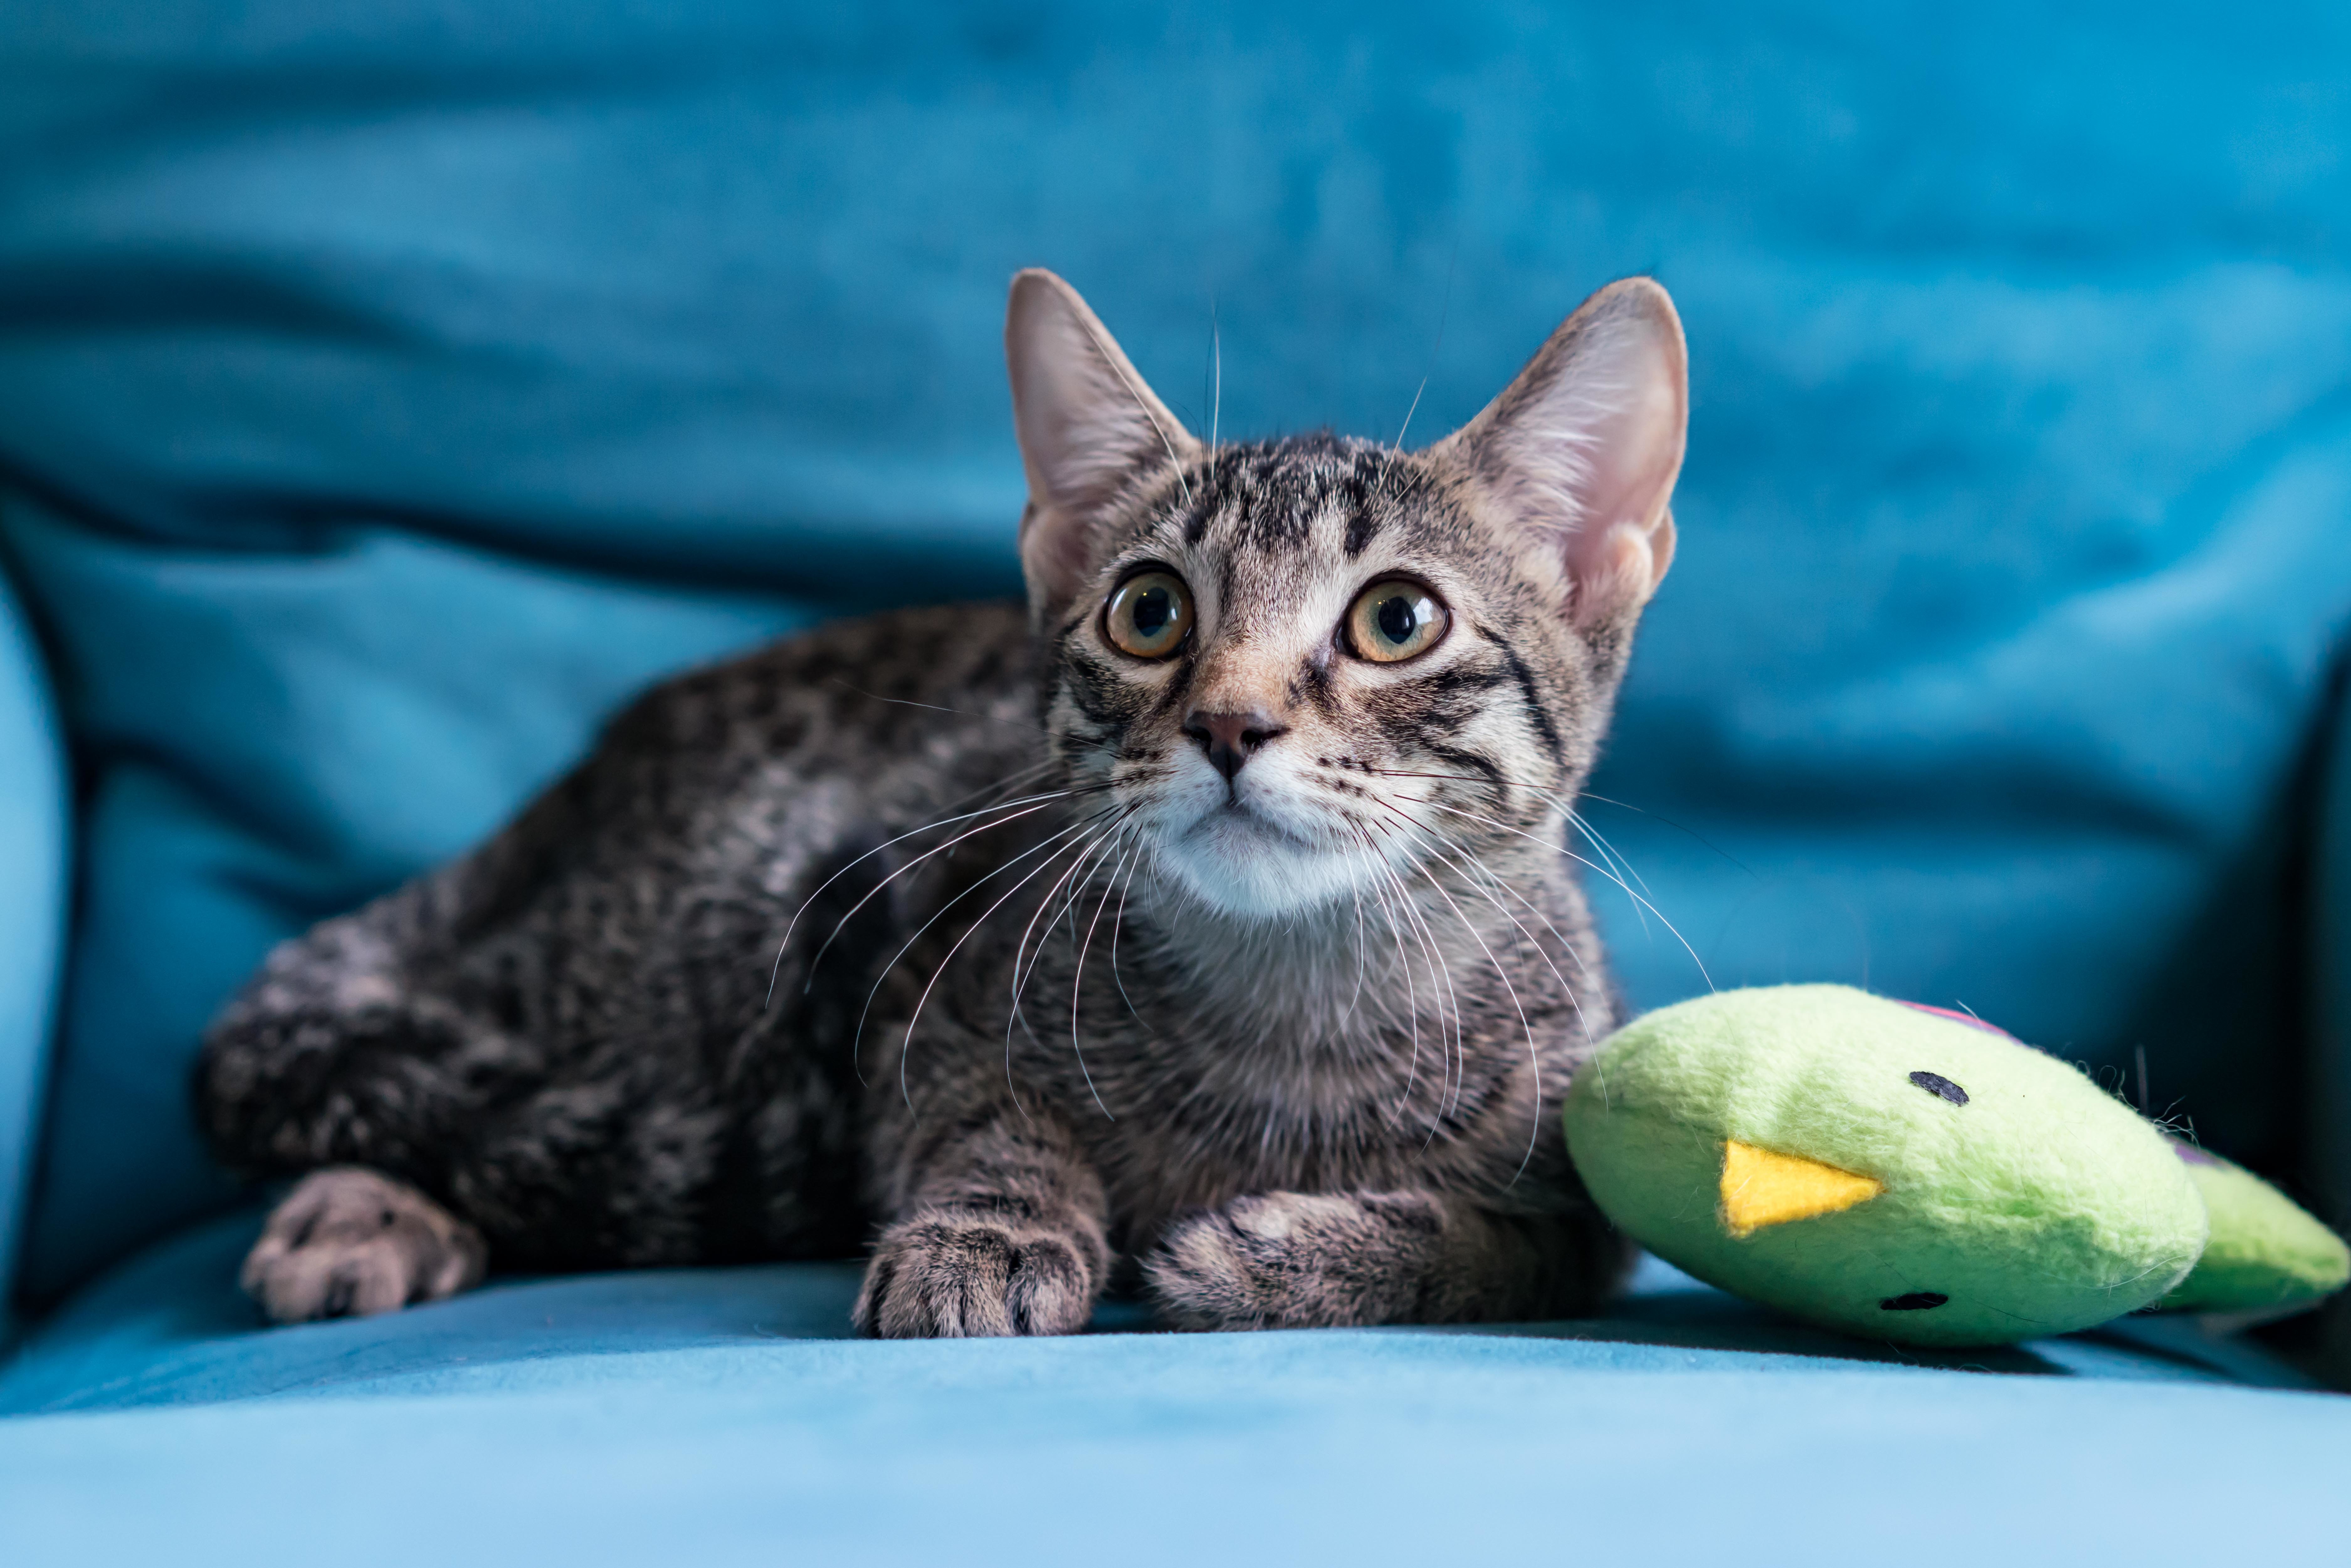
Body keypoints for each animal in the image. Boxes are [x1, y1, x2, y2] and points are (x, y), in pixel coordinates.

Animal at [193, 270, 1683, 1335]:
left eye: (1395, 619)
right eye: (1149, 611)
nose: (1227, 721)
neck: (1293, 1007)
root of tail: (568, 793)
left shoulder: (1574, 1186)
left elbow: (1510, 1246)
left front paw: (1304, 1249)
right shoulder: (926, 980)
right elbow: (982, 1114)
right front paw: (994, 1223)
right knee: (459, 1077)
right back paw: (355, 1211)